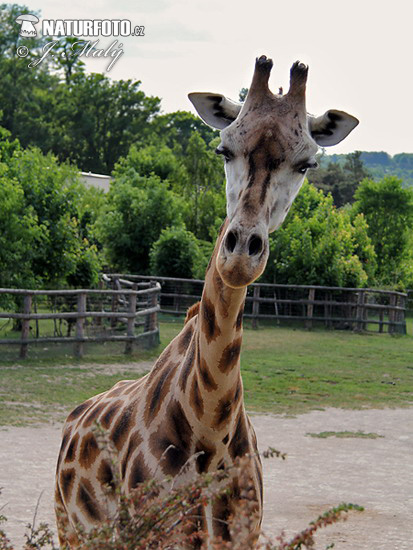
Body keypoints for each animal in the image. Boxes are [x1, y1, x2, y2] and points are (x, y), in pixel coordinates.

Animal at [54, 57, 358, 550]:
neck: (209, 429)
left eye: (307, 163)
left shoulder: (243, 538)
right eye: (223, 149)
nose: (239, 255)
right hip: (71, 529)